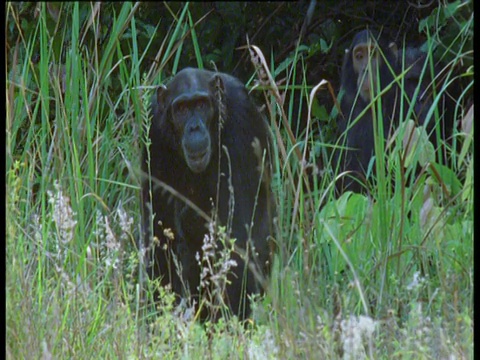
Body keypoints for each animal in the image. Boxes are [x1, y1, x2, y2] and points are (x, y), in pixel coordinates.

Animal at [140, 67, 274, 320]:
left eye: (202, 105)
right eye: (182, 109)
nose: (194, 127)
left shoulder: (243, 118)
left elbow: (238, 234)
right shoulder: (153, 131)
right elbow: (162, 232)